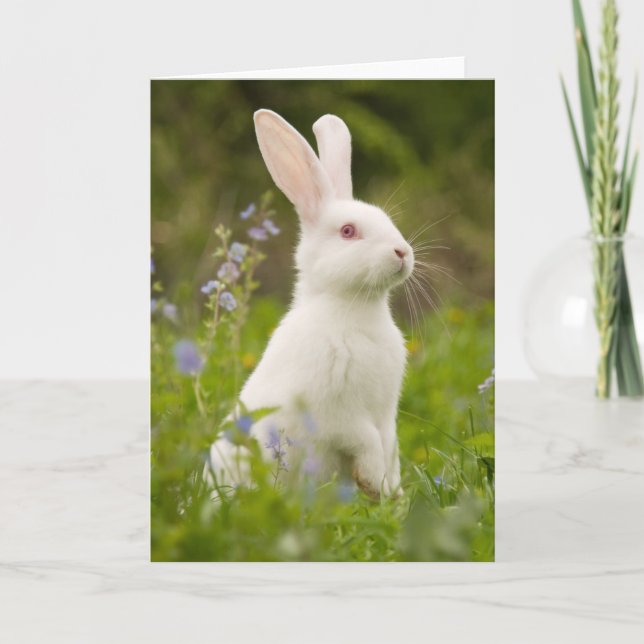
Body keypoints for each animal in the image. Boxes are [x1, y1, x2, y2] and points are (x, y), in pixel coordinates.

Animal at [207, 109, 414, 499]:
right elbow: (366, 441)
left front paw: (392, 493)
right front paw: (373, 483)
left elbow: (390, 445)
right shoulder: (337, 414)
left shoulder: (385, 414)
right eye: (348, 231)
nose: (403, 252)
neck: (353, 308)